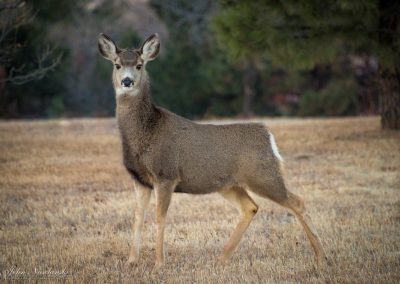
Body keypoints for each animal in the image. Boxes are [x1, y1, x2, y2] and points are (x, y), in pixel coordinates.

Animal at [98, 32, 326, 268]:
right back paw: (221, 258)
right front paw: (131, 260)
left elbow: (160, 217)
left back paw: (321, 257)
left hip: (263, 175)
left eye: (139, 65)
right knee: (251, 207)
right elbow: (137, 217)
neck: (146, 133)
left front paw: (159, 263)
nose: (127, 81)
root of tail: (268, 137)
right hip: (230, 185)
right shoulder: (140, 180)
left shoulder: (166, 174)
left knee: (297, 201)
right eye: (117, 64)